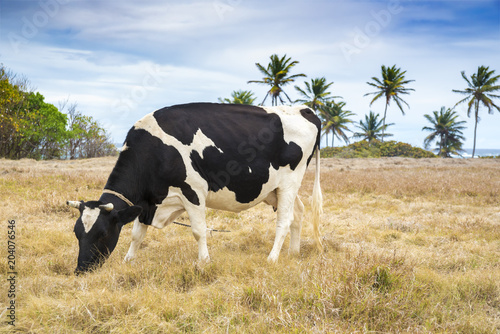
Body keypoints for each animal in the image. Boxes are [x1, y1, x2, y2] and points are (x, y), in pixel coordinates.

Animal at [66, 103, 322, 272]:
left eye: (103, 233)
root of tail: (304, 109)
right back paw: (293, 253)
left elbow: (199, 231)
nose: (81, 270)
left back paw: (272, 258)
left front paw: (204, 261)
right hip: (275, 189)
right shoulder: (147, 202)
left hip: (290, 181)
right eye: (76, 233)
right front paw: (129, 260)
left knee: (284, 221)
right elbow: (137, 234)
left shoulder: (194, 191)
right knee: (298, 213)